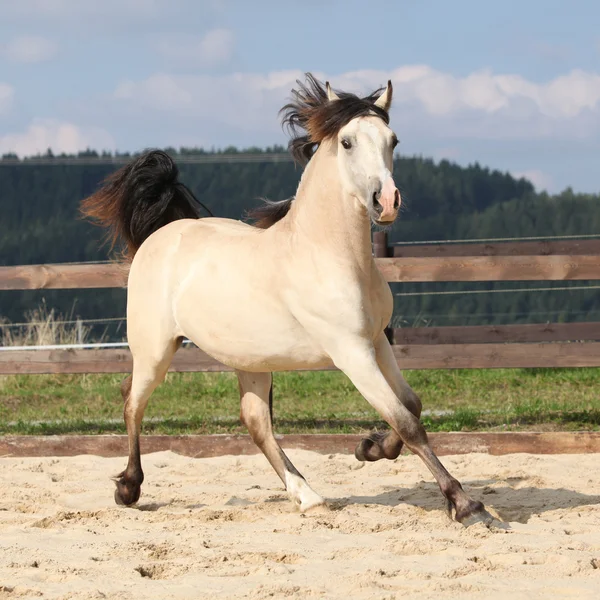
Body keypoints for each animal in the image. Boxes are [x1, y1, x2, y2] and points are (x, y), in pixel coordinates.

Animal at [82, 74, 494, 524]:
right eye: (347, 142)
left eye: (393, 140)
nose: (386, 202)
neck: (328, 255)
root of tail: (163, 234)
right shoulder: (351, 352)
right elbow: (407, 421)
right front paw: (465, 504)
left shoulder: (377, 341)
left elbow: (411, 404)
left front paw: (369, 448)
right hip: (154, 349)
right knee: (132, 401)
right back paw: (128, 487)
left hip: (250, 360)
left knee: (255, 421)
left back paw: (307, 495)